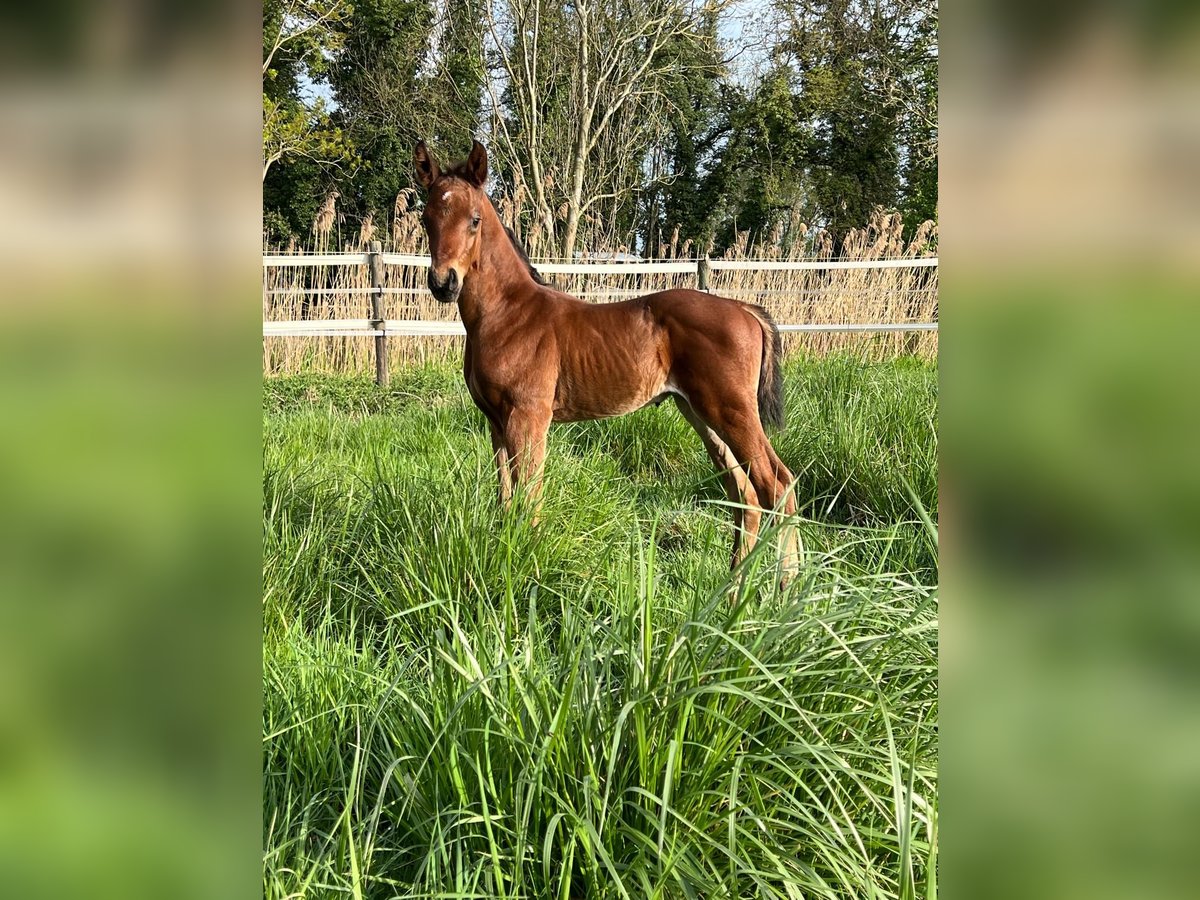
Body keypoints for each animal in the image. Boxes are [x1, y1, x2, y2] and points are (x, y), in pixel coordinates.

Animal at [412, 141, 796, 578]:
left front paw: (530, 567)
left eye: (474, 220)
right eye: (425, 219)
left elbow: (530, 498)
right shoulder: (494, 420)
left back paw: (785, 588)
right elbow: (505, 498)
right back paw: (733, 581)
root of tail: (744, 308)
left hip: (732, 410)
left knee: (776, 484)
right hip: (701, 414)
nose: (443, 283)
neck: (506, 313)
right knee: (745, 492)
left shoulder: (529, 416)